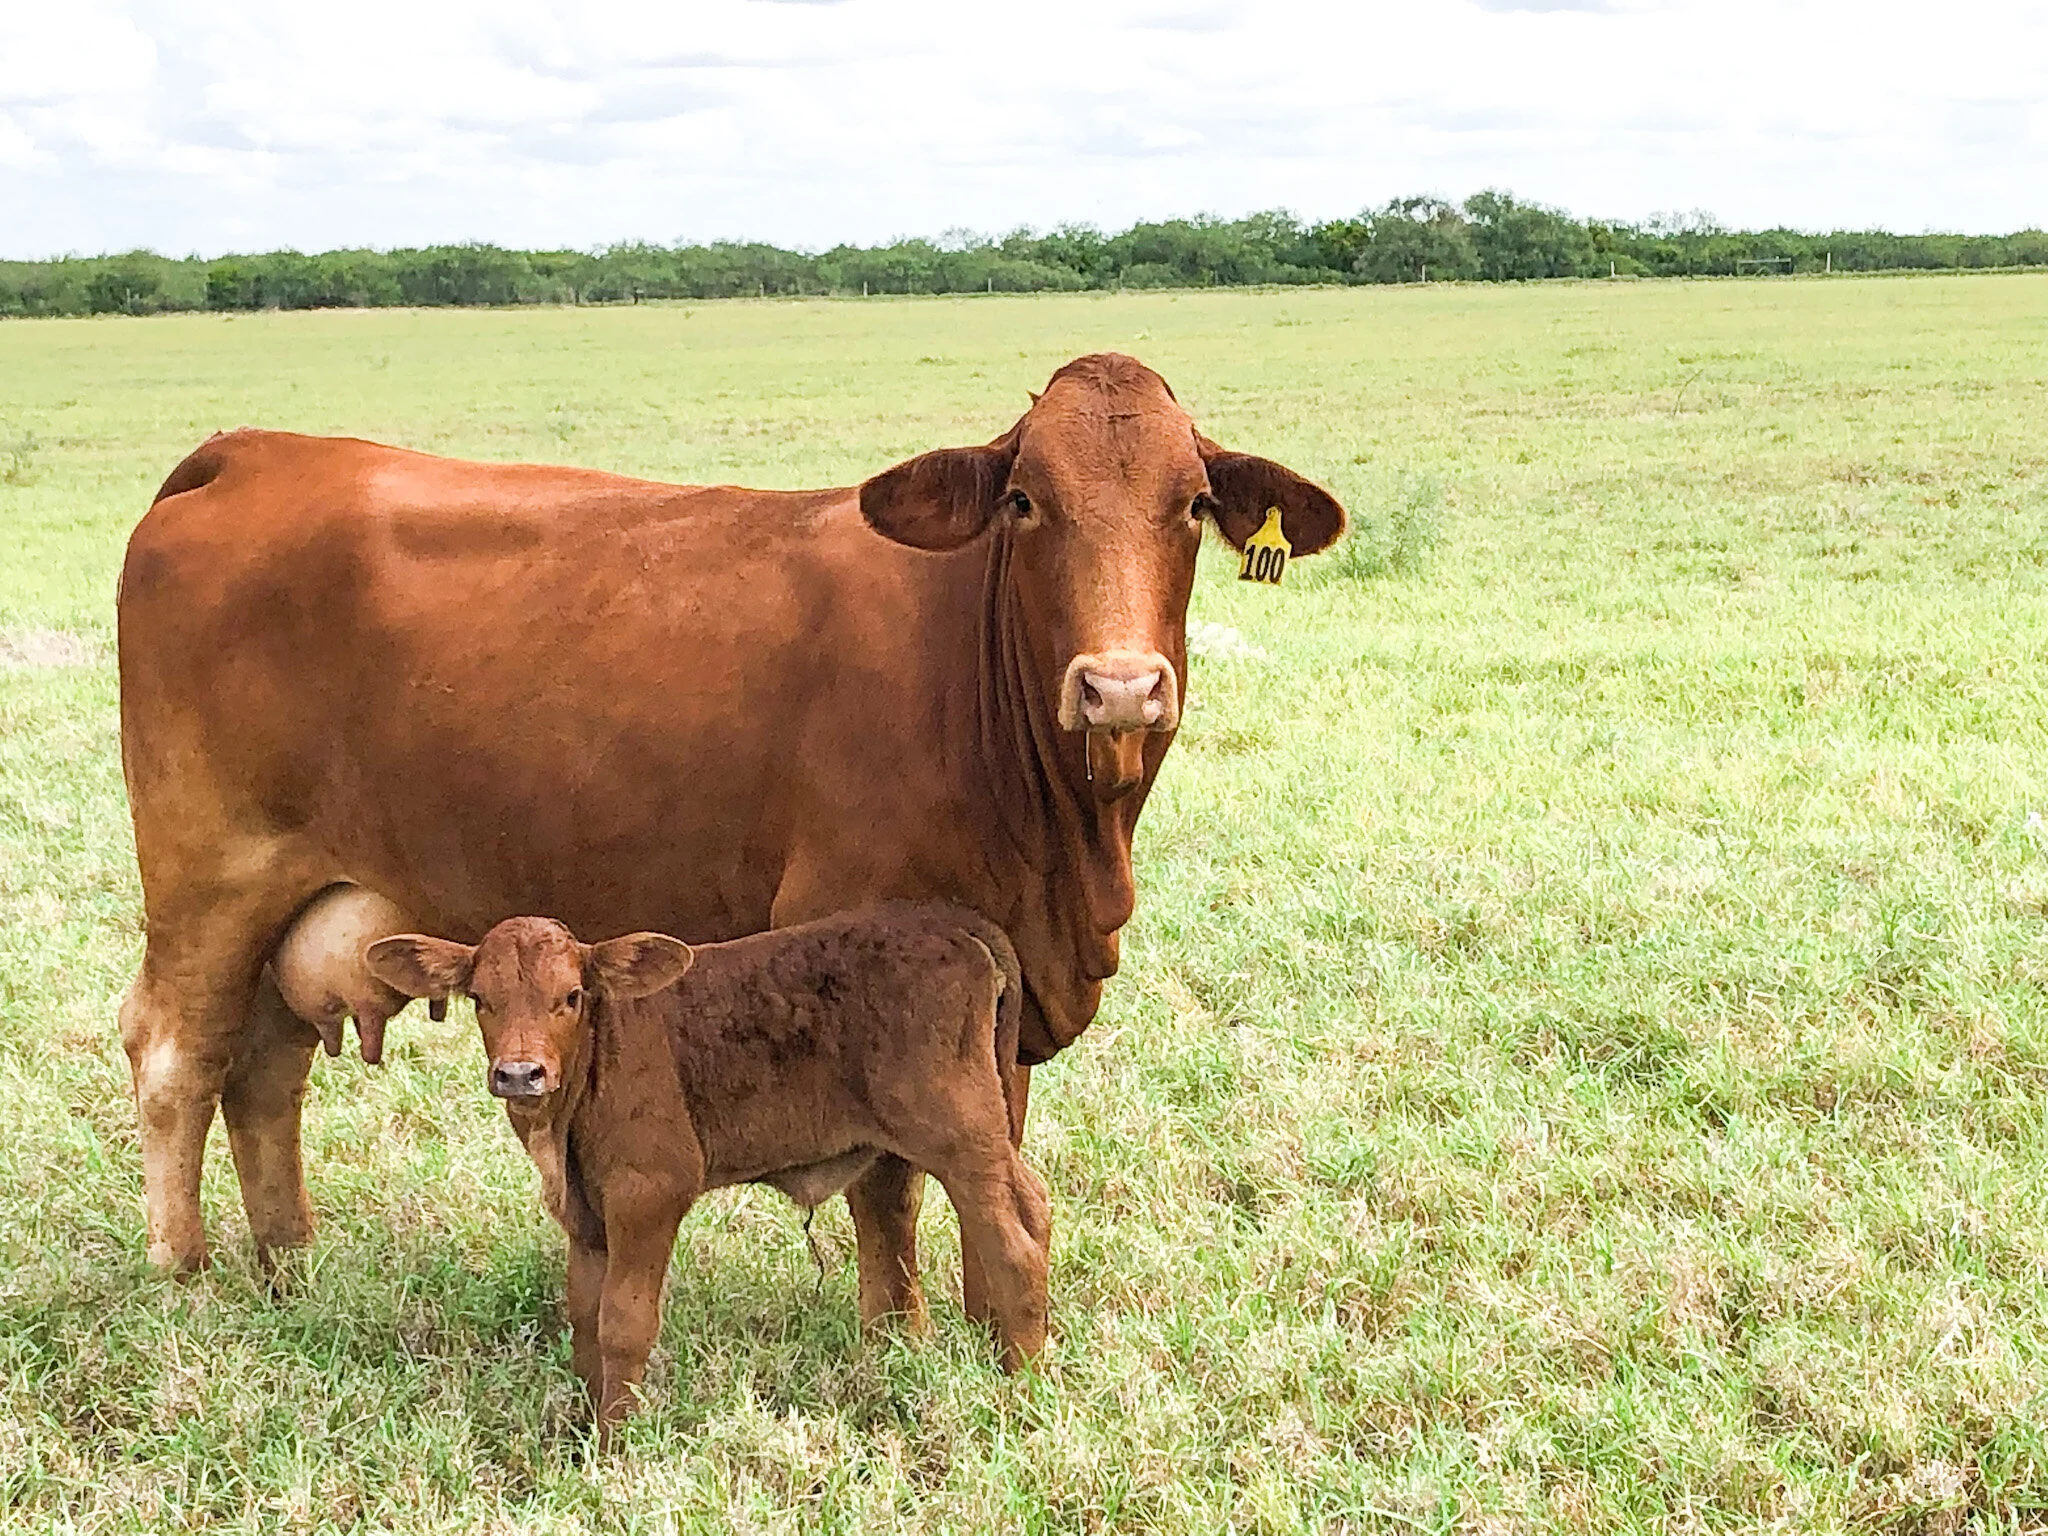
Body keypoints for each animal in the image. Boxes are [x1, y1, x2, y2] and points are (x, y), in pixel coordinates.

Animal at [115, 352, 1346, 1318]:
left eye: (1191, 505)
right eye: (1024, 503)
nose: (1119, 688)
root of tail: (254, 452)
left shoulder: (999, 993)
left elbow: (987, 1147)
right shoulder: (856, 943)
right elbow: (887, 1182)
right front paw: (895, 1329)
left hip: (296, 903)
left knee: (263, 1073)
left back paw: (290, 1266)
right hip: (209, 881)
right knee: (176, 1057)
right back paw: (182, 1272)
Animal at [366, 902, 1047, 1437]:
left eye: (571, 996)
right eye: (481, 1000)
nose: (519, 1073)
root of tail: (949, 921)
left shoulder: (650, 1190)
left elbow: (623, 1321)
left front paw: (616, 1446)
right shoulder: (586, 1215)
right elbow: (584, 1318)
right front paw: (583, 1430)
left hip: (958, 1135)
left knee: (1013, 1245)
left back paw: (1023, 1391)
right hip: (979, 1139)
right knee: (1034, 1206)